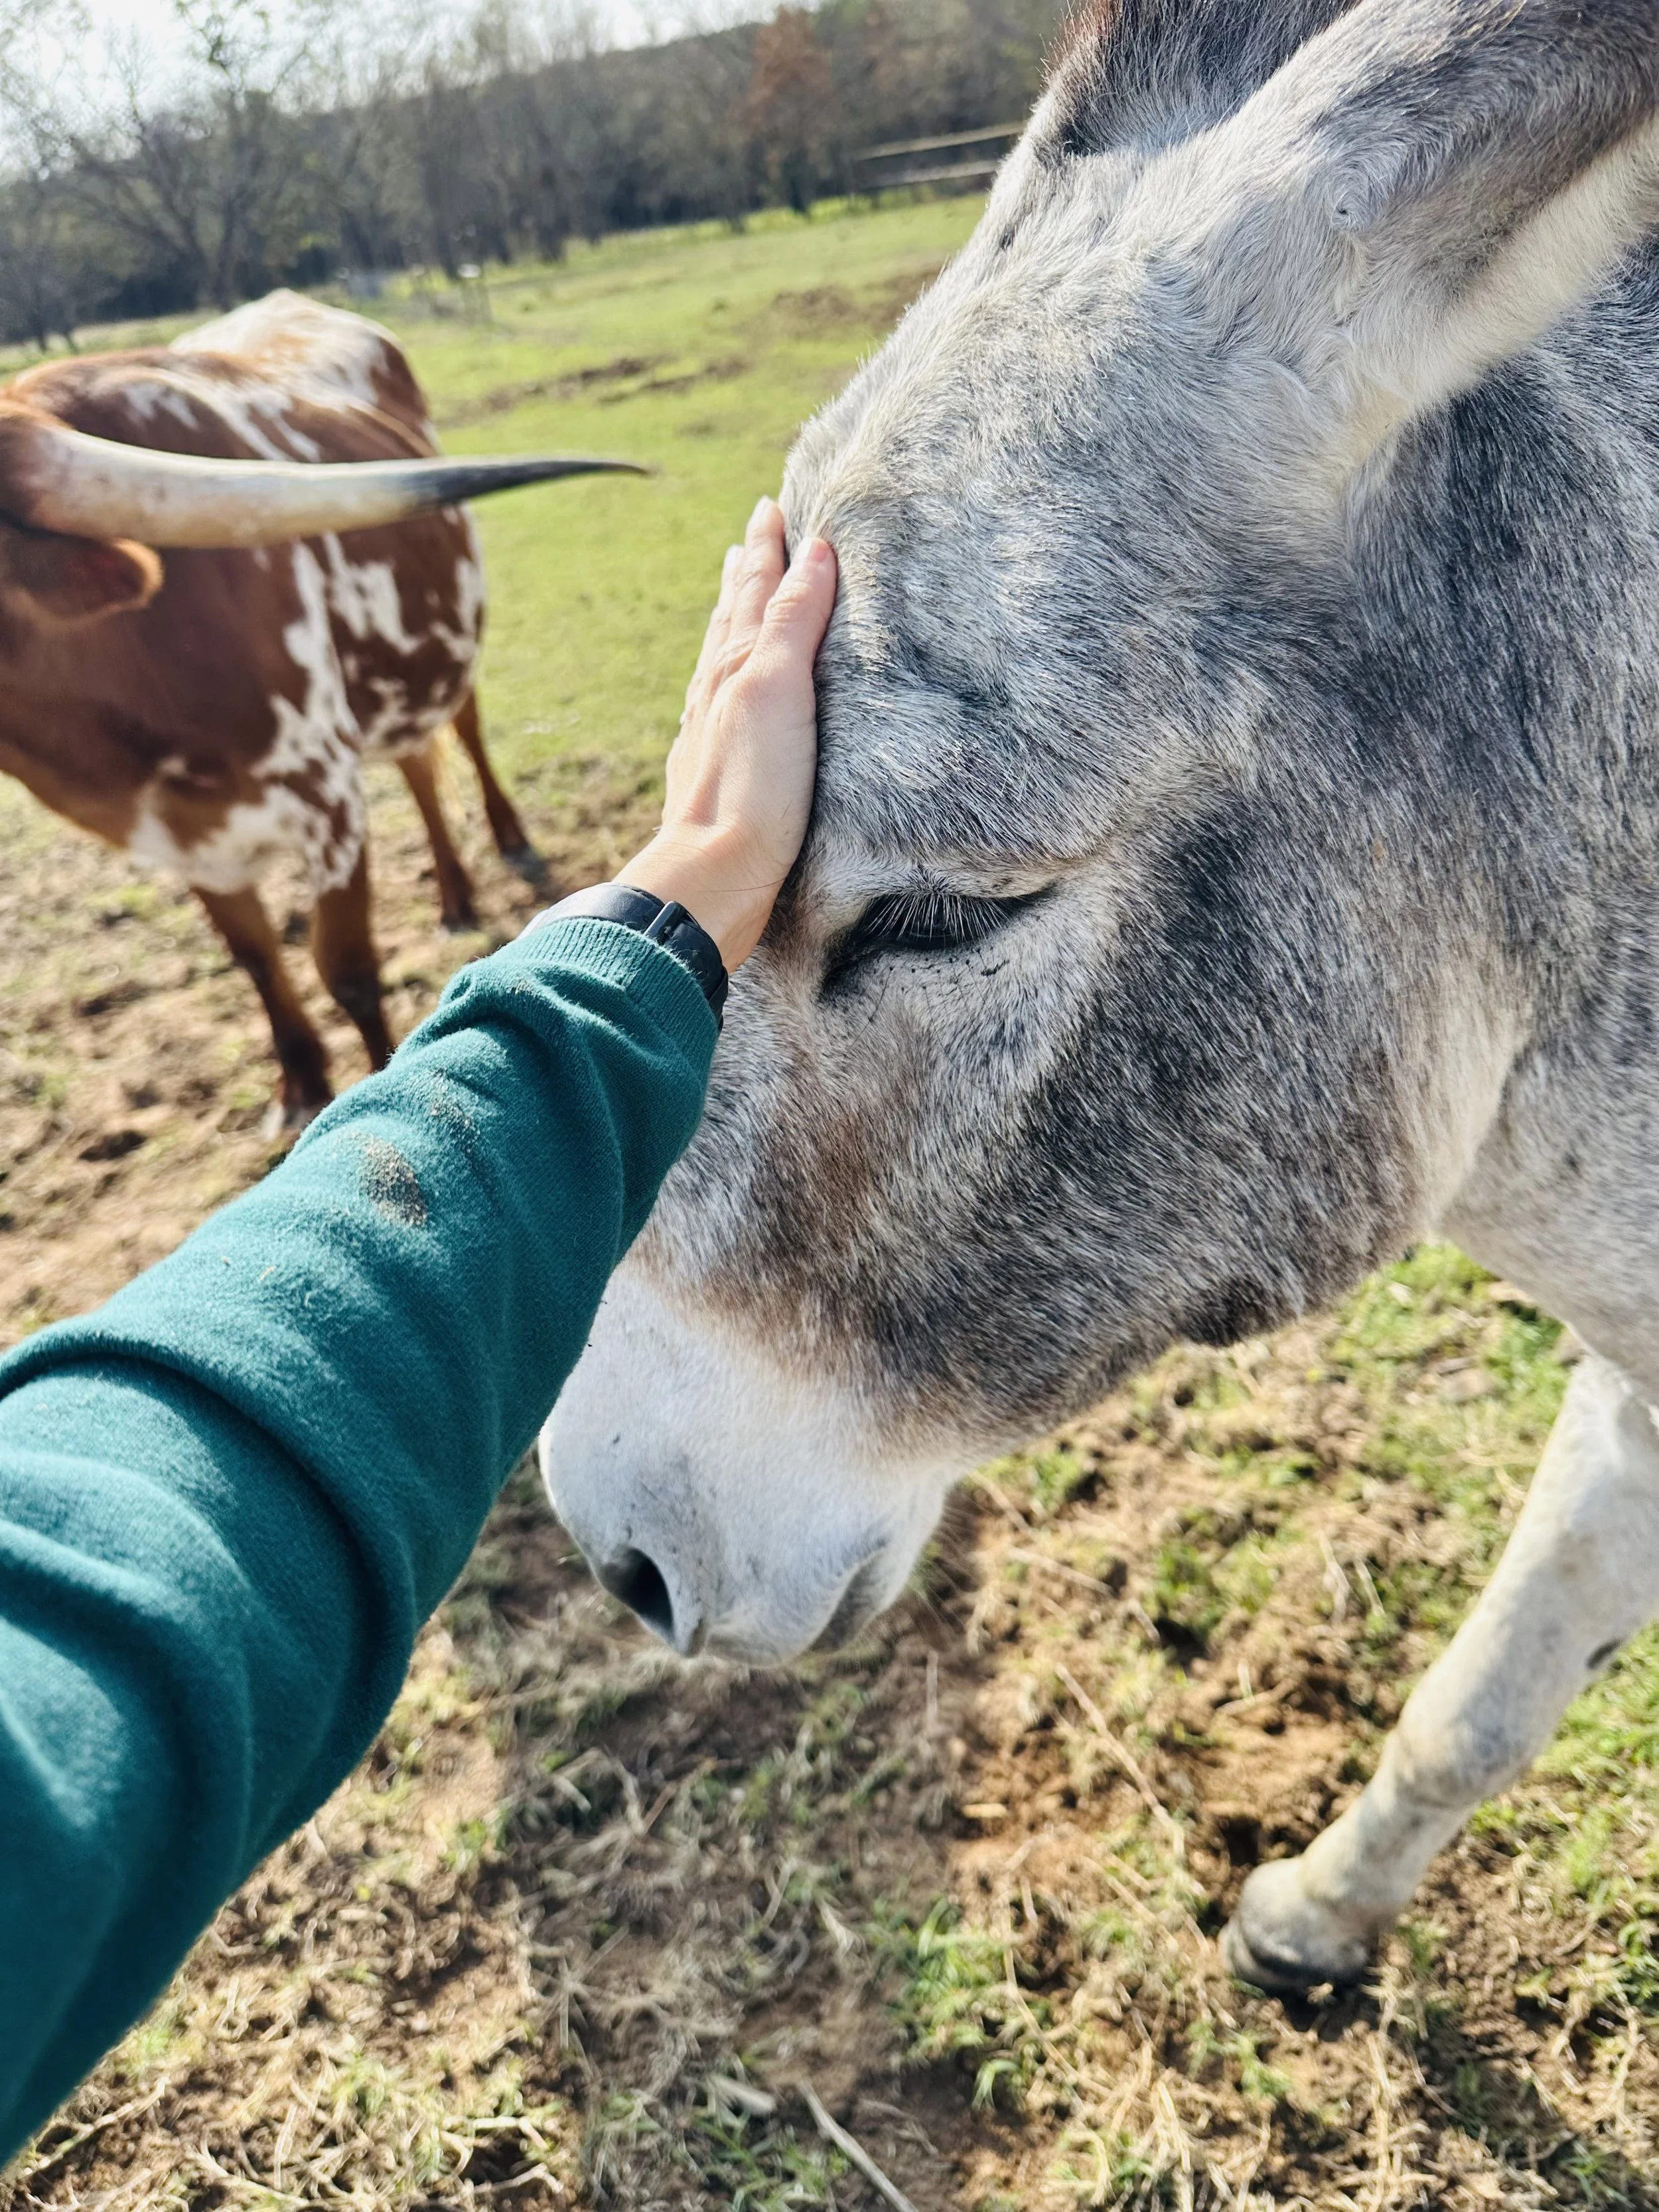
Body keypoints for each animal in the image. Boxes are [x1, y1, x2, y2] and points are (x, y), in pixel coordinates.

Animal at [0, 290, 639, 1127]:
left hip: (445, 644)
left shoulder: (326, 801)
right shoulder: (183, 837)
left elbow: (347, 968)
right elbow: (255, 957)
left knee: (461, 731)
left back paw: (509, 840)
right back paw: (455, 896)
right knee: (417, 767)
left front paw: (371, 1074)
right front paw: (299, 1080)